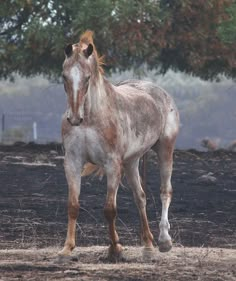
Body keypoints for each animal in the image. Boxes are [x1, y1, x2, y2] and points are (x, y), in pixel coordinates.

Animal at [59, 31, 179, 258]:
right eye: (64, 76)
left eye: (87, 77)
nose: (75, 119)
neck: (91, 117)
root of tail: (161, 93)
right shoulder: (72, 162)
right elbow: (72, 205)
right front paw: (67, 248)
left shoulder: (112, 165)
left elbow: (109, 209)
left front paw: (115, 248)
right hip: (132, 161)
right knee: (140, 197)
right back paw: (147, 244)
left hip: (165, 148)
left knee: (165, 191)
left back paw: (164, 241)